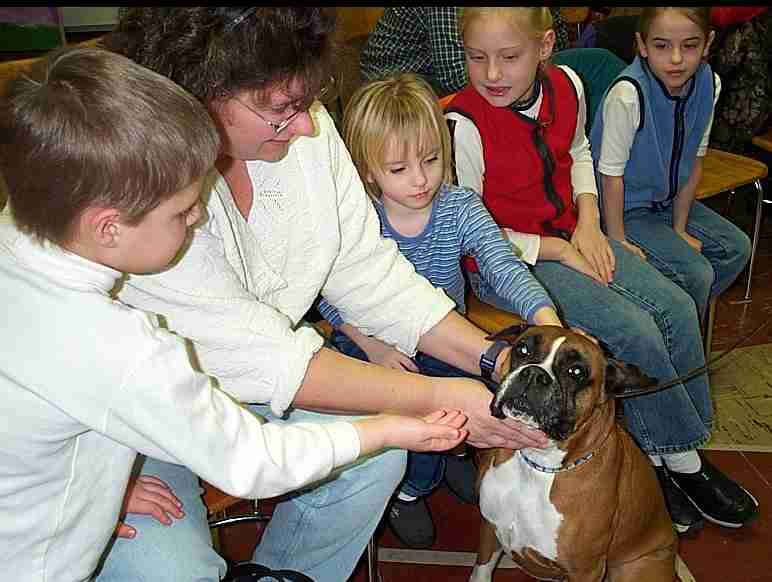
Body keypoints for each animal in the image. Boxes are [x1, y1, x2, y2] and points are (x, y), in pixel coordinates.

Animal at [470, 326, 676, 580]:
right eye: (523, 349)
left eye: (576, 371)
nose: (534, 374)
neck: (538, 465)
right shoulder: (489, 530)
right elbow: (481, 572)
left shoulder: (585, 570)